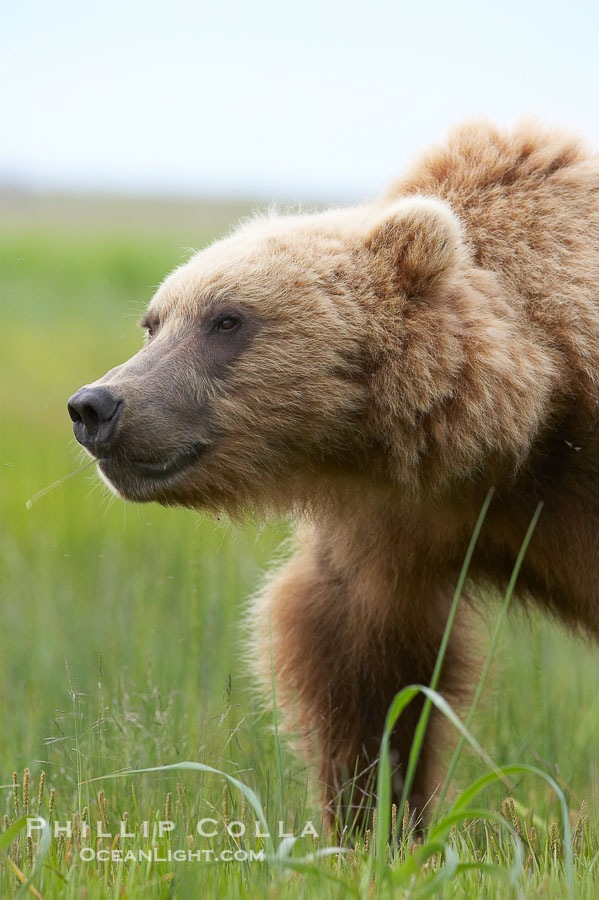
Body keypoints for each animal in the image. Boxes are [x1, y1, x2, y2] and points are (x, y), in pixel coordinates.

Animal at [68, 120, 599, 828]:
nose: (96, 406)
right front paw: (373, 818)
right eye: (153, 322)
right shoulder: (395, 516)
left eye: (226, 319)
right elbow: (359, 658)